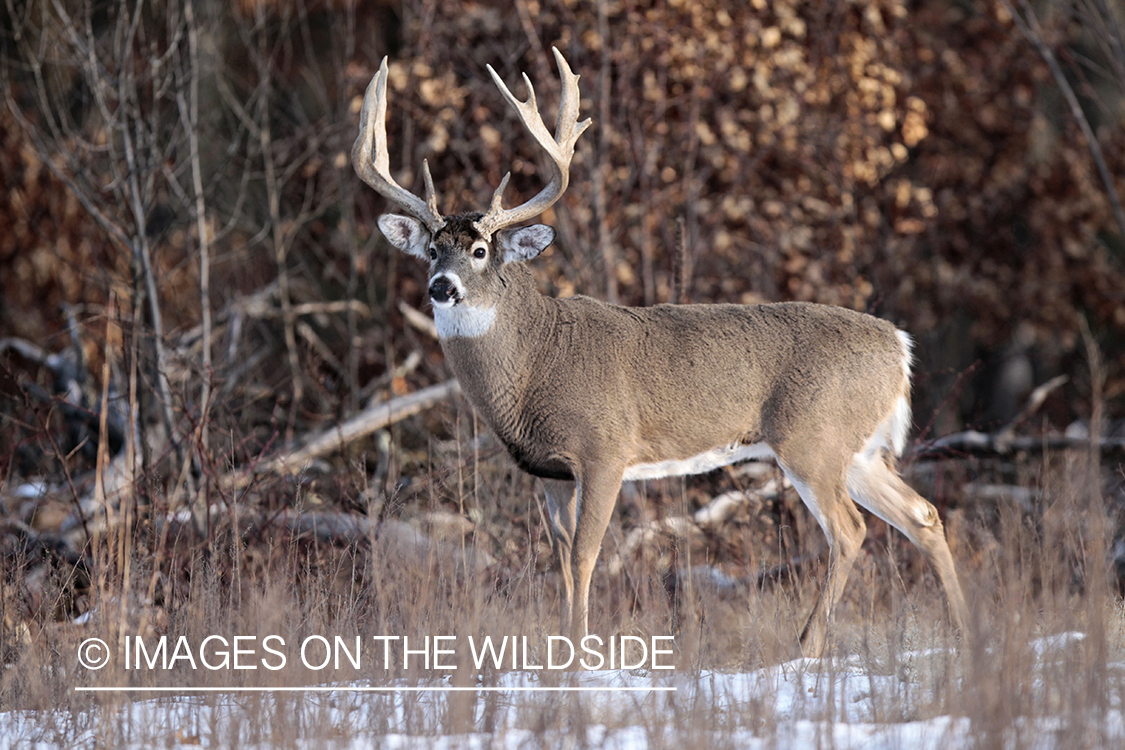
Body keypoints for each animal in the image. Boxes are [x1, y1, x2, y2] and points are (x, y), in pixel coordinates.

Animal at [351, 48, 967, 656]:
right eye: (432, 250)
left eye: (480, 251)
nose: (442, 287)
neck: (532, 365)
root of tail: (899, 345)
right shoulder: (547, 471)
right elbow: (561, 562)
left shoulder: (605, 448)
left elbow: (585, 556)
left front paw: (579, 654)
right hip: (857, 448)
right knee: (923, 514)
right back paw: (964, 631)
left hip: (811, 436)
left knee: (850, 530)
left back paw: (808, 645)